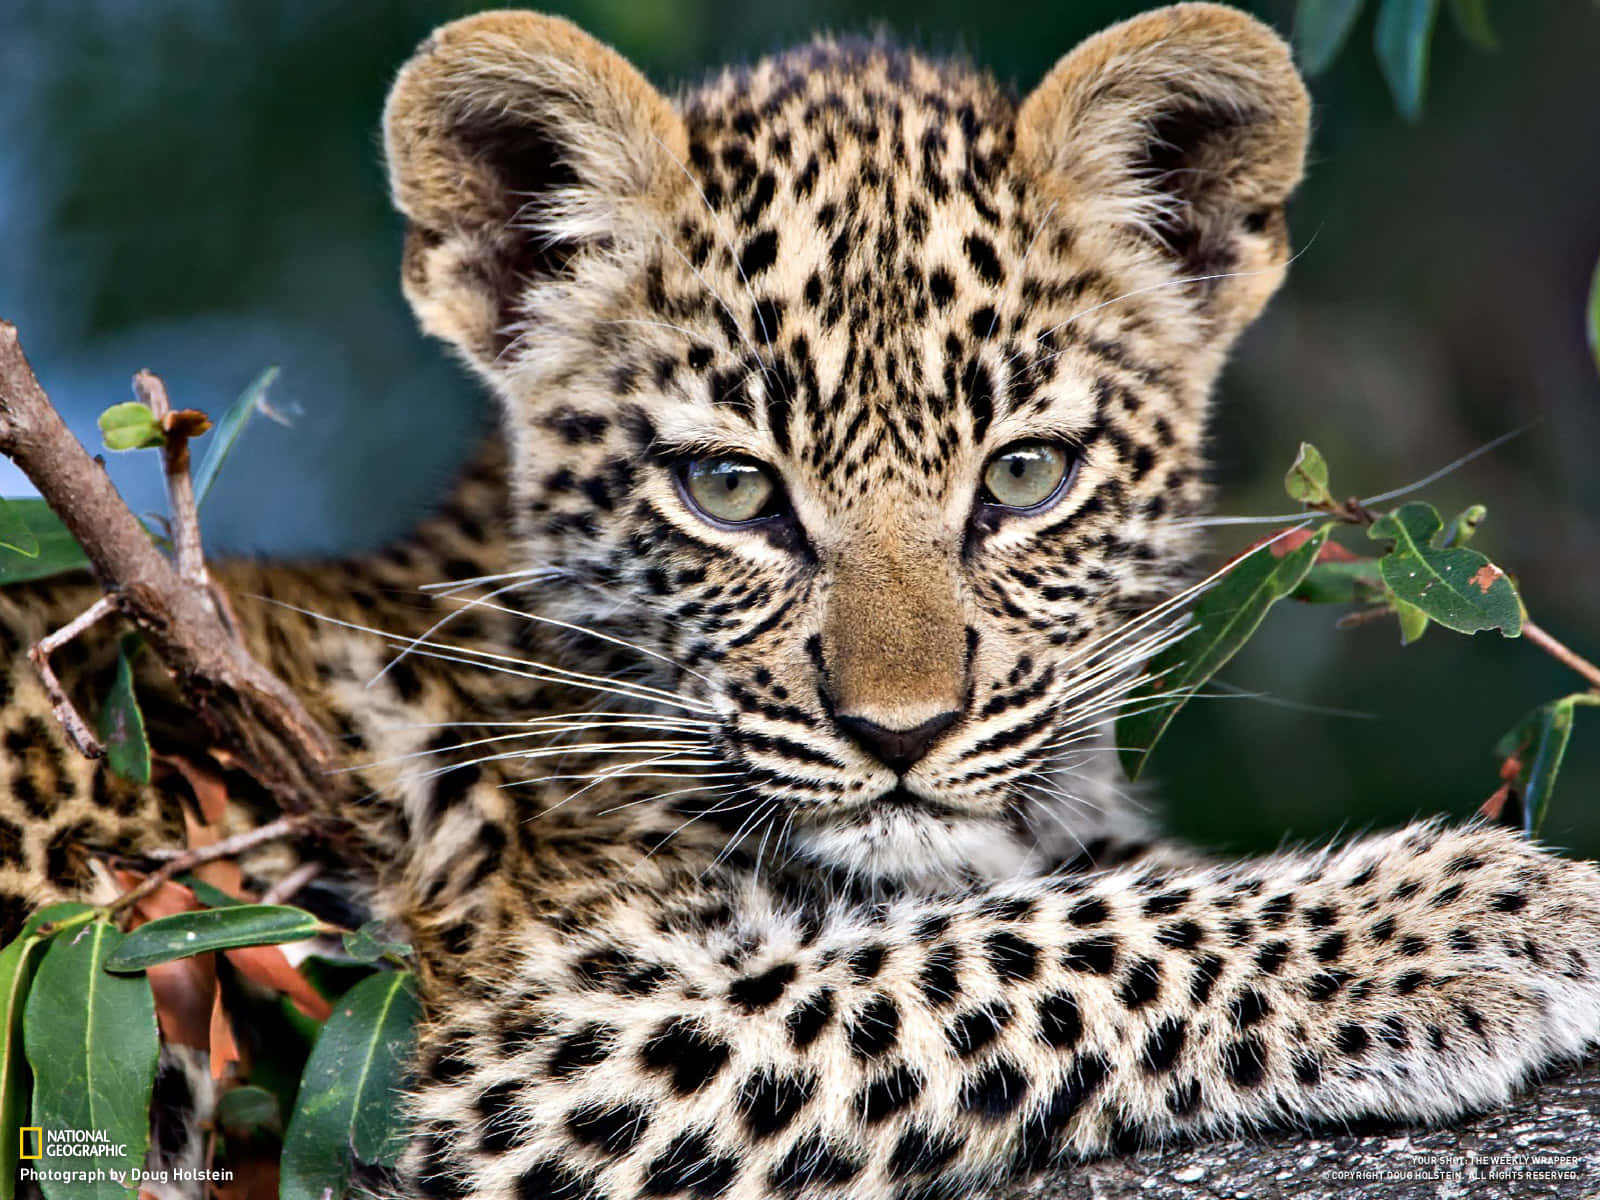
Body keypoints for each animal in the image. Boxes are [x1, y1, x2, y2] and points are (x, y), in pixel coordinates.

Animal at [5, 5, 1600, 1199]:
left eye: (1023, 476)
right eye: (729, 489)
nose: (899, 733)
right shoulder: (545, 1036)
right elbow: (1022, 950)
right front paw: (1473, 920)